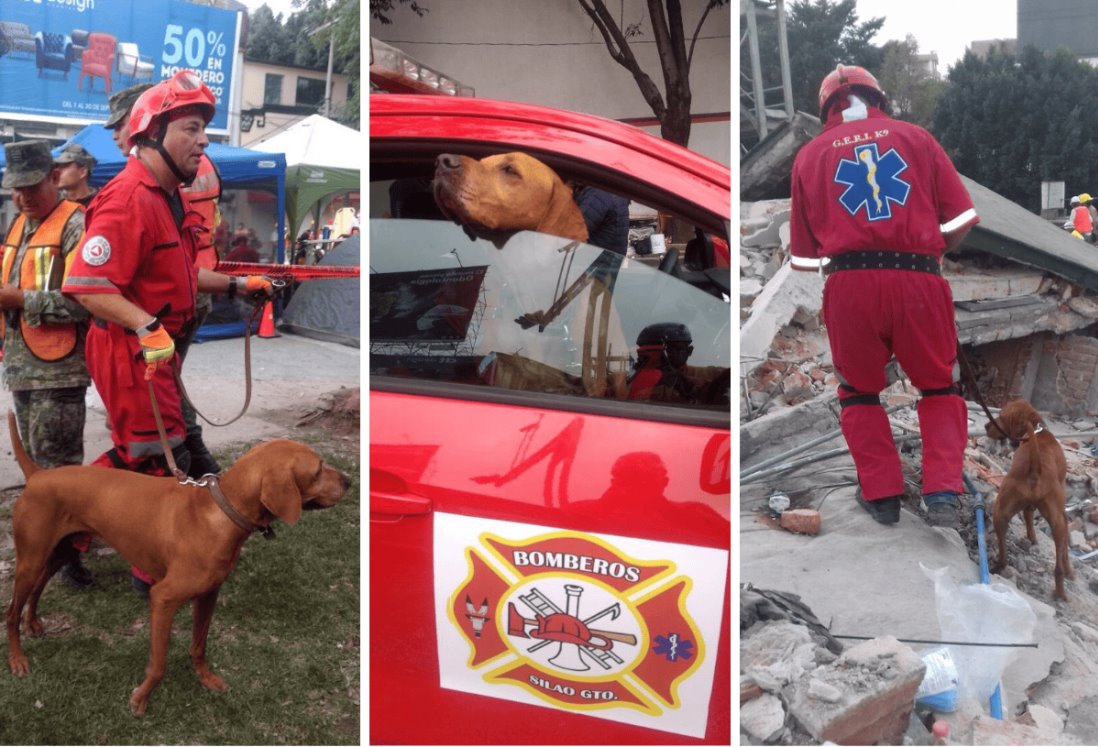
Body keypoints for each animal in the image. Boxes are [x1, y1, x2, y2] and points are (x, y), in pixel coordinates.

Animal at [6, 415, 349, 716]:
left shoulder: (209, 595)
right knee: (10, 613)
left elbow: (199, 645)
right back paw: (17, 659)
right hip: (30, 560)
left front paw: (205, 678)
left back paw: (33, 622)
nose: (349, 480)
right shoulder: (163, 599)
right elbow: (158, 664)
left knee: (38, 588)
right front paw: (141, 698)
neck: (221, 512)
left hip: (59, 552)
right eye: (318, 469)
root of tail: (38, 474)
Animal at [988, 397, 1071, 601]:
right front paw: (1070, 572)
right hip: (1057, 522)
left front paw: (1032, 538)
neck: (1037, 429)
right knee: (1058, 565)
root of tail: (1034, 467)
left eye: (1001, 415)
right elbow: (1065, 552)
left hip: (1000, 512)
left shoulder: (1032, 507)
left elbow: (1028, 515)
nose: (986, 426)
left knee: (1003, 555)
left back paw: (997, 566)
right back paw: (1060, 591)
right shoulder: (1063, 516)